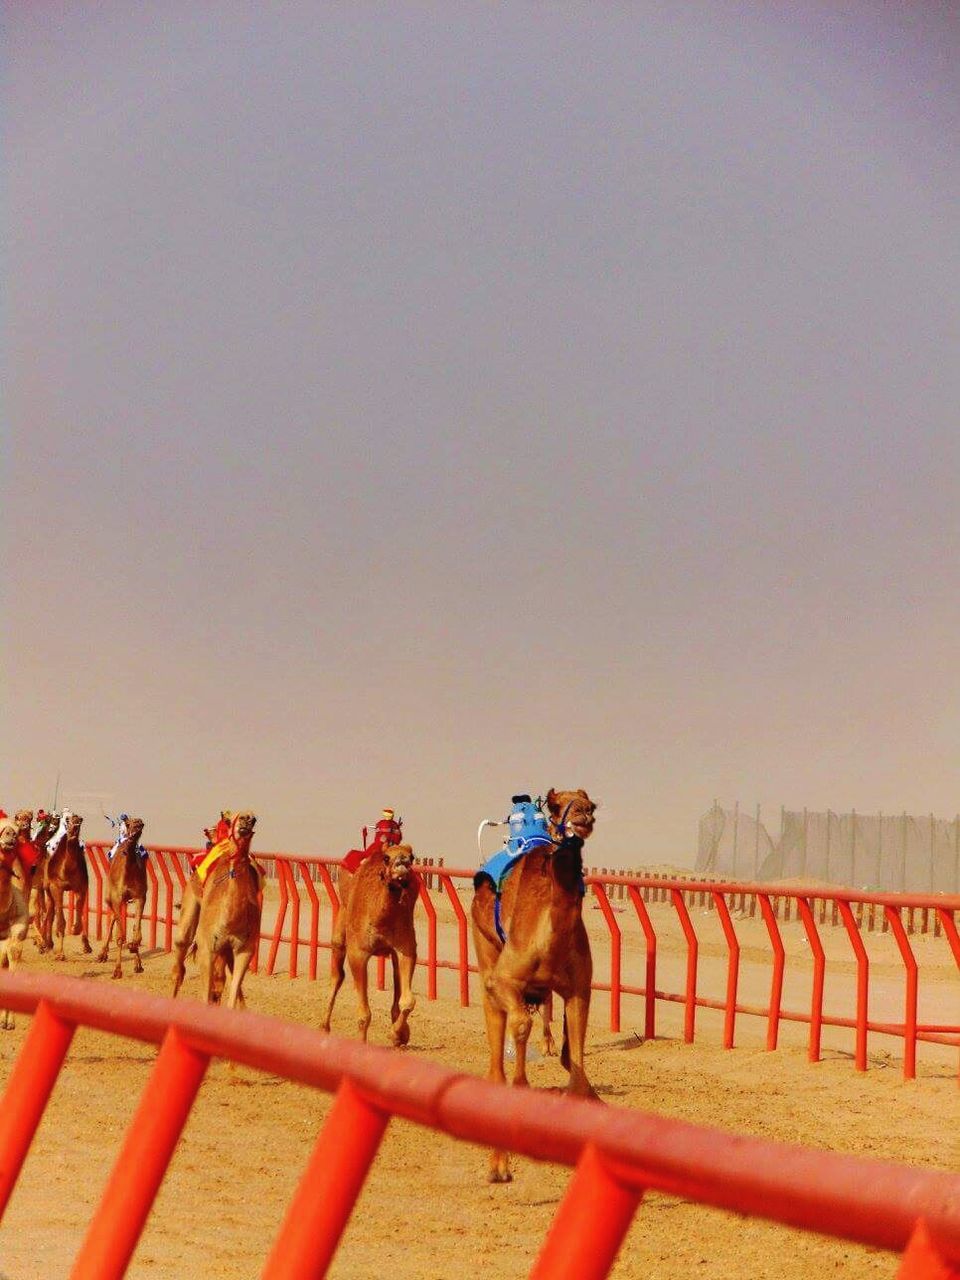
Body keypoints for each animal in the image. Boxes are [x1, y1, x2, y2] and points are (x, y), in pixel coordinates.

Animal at [43, 814, 92, 957]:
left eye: (80, 821)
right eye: (68, 820)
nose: (74, 828)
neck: (67, 869)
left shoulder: (81, 887)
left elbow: (80, 915)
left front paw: (77, 932)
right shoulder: (56, 887)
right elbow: (61, 922)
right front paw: (60, 954)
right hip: (47, 888)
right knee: (50, 913)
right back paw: (47, 945)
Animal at [97, 819, 148, 977]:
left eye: (140, 824)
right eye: (129, 823)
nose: (138, 824)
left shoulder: (140, 896)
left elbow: (136, 931)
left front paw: (135, 955)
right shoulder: (117, 899)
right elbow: (120, 936)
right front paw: (117, 970)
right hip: (110, 897)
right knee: (113, 918)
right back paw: (102, 954)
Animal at [172, 808, 261, 1008]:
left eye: (254, 820)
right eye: (231, 818)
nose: (246, 819)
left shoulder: (245, 949)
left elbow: (232, 994)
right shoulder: (206, 947)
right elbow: (205, 995)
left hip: (226, 950)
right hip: (190, 906)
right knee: (179, 963)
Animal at [321, 844, 419, 1044]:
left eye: (412, 856)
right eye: (386, 858)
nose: (402, 863)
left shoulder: (406, 948)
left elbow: (408, 1001)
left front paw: (397, 1034)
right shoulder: (358, 953)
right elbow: (364, 1015)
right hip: (342, 925)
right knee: (337, 974)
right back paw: (324, 1026)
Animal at [471, 783, 599, 1182]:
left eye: (592, 804)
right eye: (556, 806)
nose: (583, 814)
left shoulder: (580, 989)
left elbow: (577, 1060)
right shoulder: (505, 981)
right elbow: (521, 1024)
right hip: (485, 957)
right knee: (496, 1055)